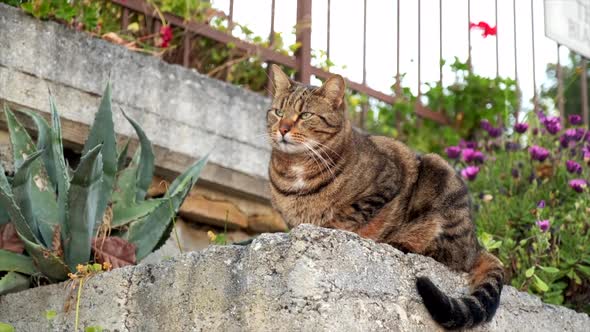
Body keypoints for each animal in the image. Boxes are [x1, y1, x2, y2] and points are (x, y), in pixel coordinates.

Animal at [268, 64, 504, 330]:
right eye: (278, 112)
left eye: (305, 115)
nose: (283, 128)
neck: (296, 166)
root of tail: (477, 243)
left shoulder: (388, 180)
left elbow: (346, 216)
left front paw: (330, 227)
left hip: (440, 174)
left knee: (452, 255)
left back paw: (402, 243)